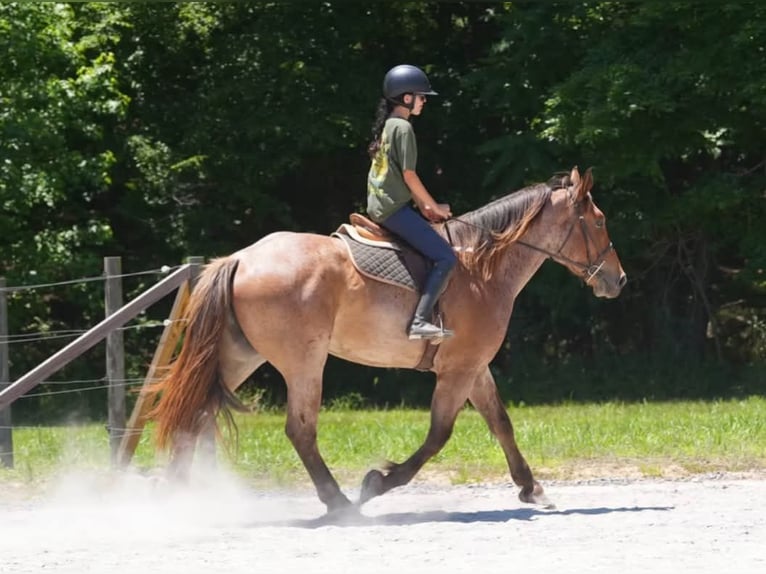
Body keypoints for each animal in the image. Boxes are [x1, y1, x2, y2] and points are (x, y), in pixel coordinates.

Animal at [149, 166, 626, 514]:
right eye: (600, 221)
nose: (618, 279)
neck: (480, 269)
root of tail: (242, 258)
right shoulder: (458, 370)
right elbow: (439, 434)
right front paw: (378, 482)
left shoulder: (473, 367)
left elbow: (500, 423)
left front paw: (532, 488)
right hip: (303, 363)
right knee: (299, 430)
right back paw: (339, 502)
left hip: (238, 357)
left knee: (195, 415)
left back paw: (180, 498)